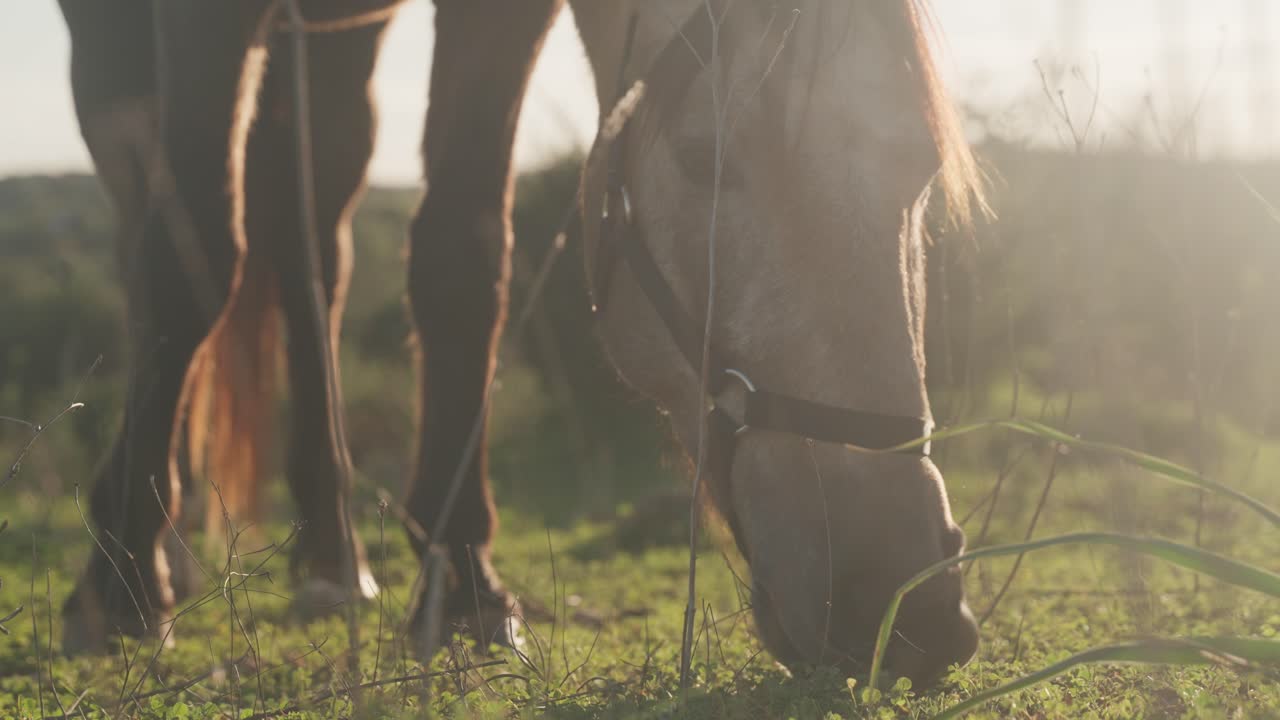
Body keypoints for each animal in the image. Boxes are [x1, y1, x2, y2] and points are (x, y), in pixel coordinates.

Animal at [55, 0, 985, 687]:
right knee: (156, 219)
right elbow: (192, 252)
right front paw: (122, 578)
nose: (910, 605)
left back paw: (331, 551)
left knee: (311, 226)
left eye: (923, 171)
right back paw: (157, 545)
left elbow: (463, 246)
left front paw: (464, 575)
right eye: (704, 157)